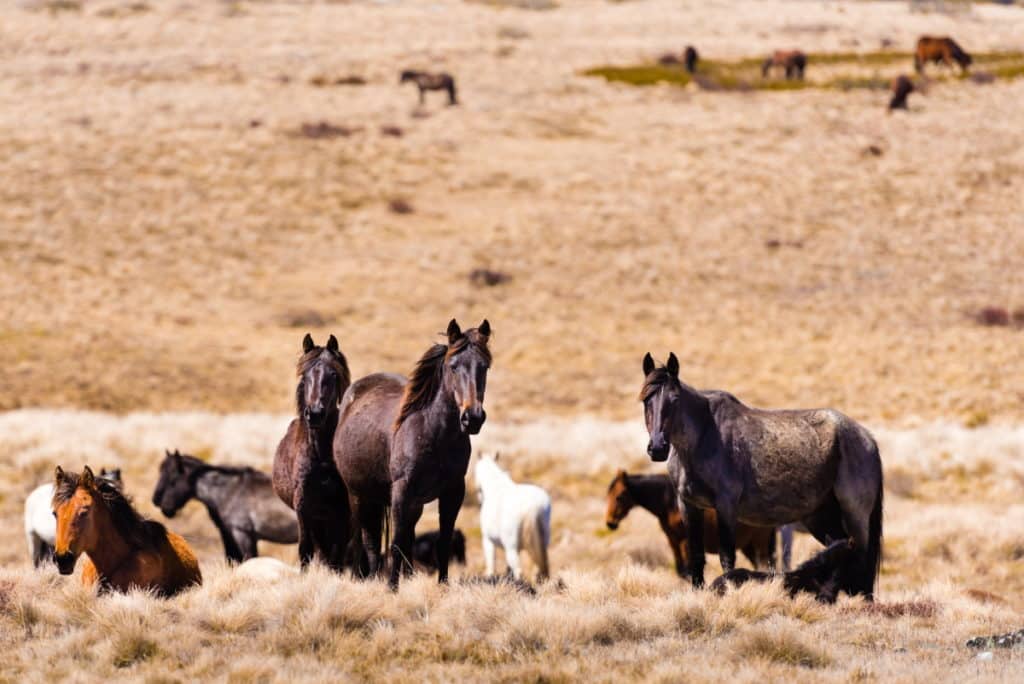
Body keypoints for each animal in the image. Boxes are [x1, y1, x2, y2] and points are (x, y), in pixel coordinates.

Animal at [271, 333, 351, 570]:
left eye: (333, 374)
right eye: (305, 376)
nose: (314, 414)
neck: (321, 457)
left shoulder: (342, 511)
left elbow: (337, 556)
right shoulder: (304, 509)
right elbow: (305, 551)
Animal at [333, 318, 491, 590]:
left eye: (485, 367)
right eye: (453, 367)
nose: (473, 418)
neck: (433, 432)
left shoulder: (453, 492)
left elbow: (441, 542)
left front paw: (442, 586)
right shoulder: (401, 490)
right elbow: (396, 544)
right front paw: (391, 589)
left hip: (408, 503)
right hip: (359, 495)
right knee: (366, 540)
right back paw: (368, 578)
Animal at [475, 454, 551, 582]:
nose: (479, 497)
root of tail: (533, 506)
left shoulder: (487, 540)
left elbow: (491, 564)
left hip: (511, 547)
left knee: (519, 570)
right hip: (542, 543)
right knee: (536, 569)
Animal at [604, 470, 776, 577]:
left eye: (619, 496)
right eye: (607, 496)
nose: (610, 523)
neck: (671, 504)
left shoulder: (685, 541)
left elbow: (689, 569)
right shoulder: (673, 541)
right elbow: (681, 570)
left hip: (759, 543)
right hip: (748, 546)